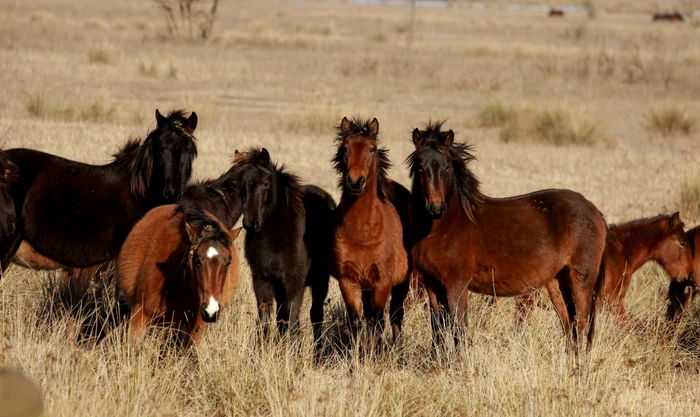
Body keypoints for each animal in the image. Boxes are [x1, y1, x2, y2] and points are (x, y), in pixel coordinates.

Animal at [232, 146, 336, 344]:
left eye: (265, 183)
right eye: (240, 185)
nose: (250, 223)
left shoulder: (294, 283)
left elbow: (293, 320)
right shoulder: (262, 280)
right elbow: (265, 321)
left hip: (319, 281)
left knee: (315, 315)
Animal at [332, 115, 410, 346]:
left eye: (372, 149)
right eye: (344, 148)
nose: (355, 182)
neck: (363, 233)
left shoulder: (382, 283)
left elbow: (377, 323)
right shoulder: (348, 281)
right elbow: (356, 322)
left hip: (402, 284)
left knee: (395, 316)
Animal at [410, 121, 608, 352]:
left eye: (447, 167)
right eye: (420, 167)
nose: (436, 208)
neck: (443, 227)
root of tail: (594, 210)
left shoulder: (456, 285)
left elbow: (459, 330)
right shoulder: (432, 284)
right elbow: (438, 331)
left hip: (581, 280)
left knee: (582, 327)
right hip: (558, 284)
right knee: (571, 330)